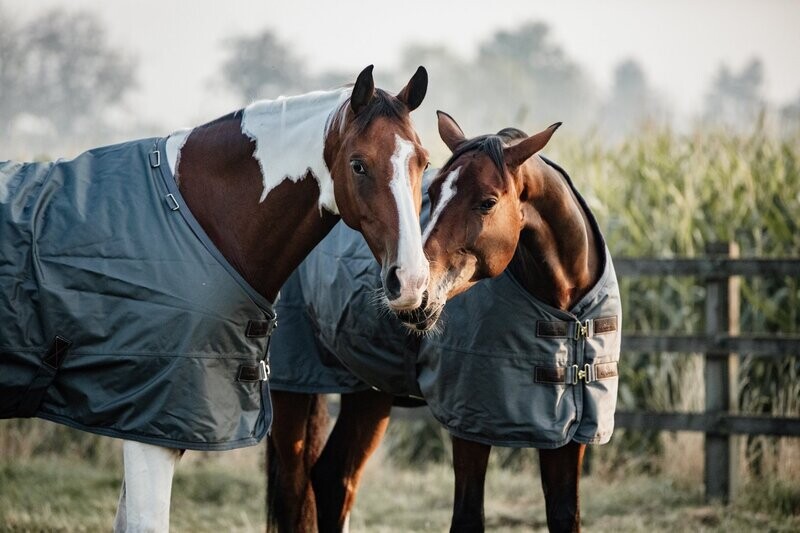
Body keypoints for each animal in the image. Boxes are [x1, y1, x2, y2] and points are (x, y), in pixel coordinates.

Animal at [0, 65, 431, 532]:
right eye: (358, 164)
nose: (411, 281)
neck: (195, 216)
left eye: (423, 162)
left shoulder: (147, 424)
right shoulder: (151, 427)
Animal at [267, 110, 621, 532]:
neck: (566, 313)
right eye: (433, 193)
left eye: (487, 202)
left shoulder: (569, 434)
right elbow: (467, 517)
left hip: (368, 392)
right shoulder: (470, 424)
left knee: (334, 480)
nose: (414, 290)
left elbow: (565, 516)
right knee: (294, 490)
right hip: (291, 387)